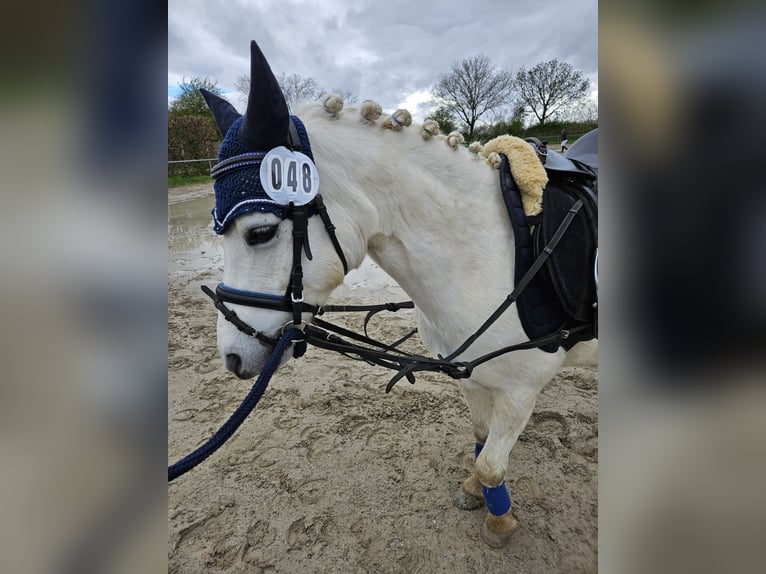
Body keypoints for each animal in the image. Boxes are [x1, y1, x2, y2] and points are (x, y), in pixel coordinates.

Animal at [204, 41, 600, 548]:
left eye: (260, 233)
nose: (232, 357)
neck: (490, 252)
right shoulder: (473, 375)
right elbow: (480, 443)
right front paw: (475, 493)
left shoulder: (520, 390)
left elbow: (492, 464)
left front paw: (499, 523)